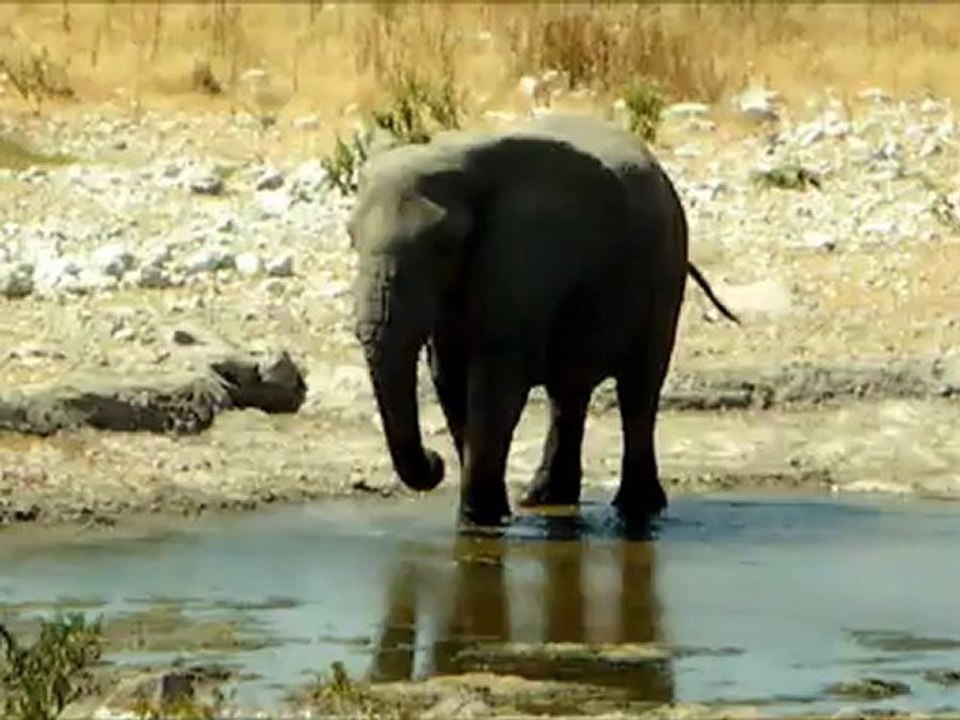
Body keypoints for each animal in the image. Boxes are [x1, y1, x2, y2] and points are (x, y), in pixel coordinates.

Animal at [348, 112, 739, 528]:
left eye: (445, 248)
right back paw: (545, 500)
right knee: (569, 393)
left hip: (665, 269)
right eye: (351, 239)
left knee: (638, 390)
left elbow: (496, 383)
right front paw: (487, 516)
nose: (435, 463)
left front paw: (479, 522)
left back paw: (636, 511)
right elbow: (450, 379)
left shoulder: (525, 257)